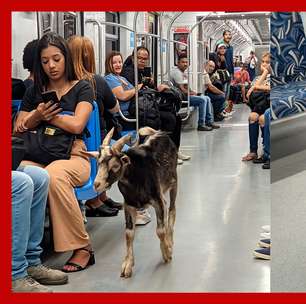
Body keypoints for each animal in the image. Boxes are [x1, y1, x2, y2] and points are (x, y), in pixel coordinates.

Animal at [82, 127, 178, 276]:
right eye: (98, 163)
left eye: (115, 166)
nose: (97, 184)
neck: (136, 176)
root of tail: (159, 133)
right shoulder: (129, 204)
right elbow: (129, 234)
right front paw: (127, 265)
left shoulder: (157, 201)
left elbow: (160, 231)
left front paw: (167, 252)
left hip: (173, 181)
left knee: (172, 209)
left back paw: (170, 240)